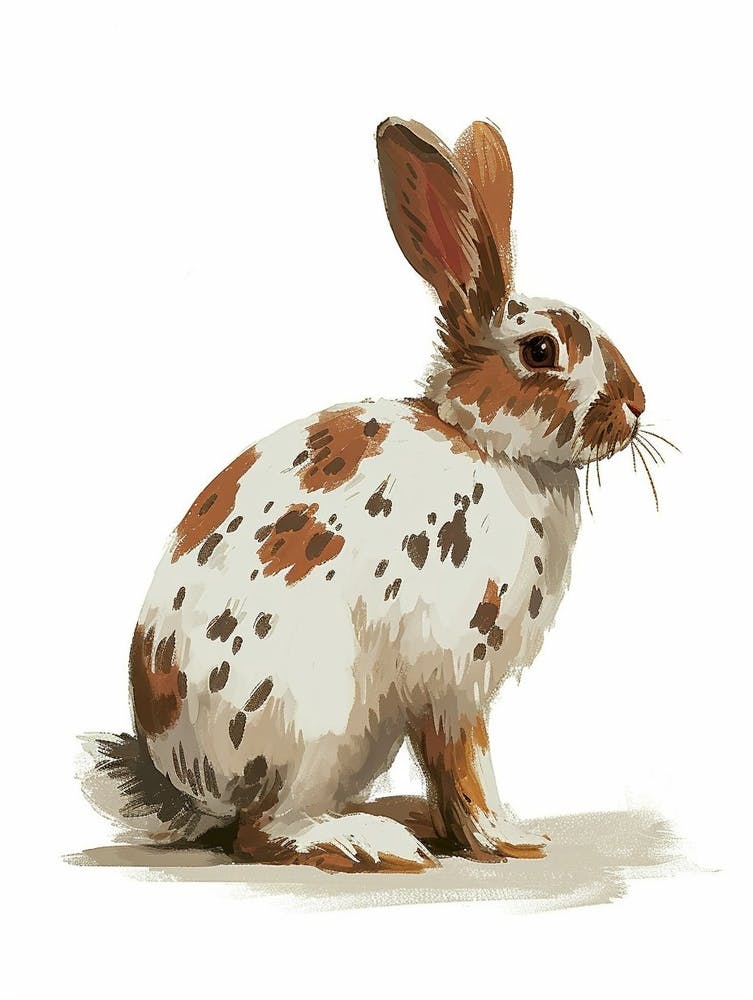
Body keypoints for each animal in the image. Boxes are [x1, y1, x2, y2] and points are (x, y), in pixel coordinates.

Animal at [80, 117, 645, 873]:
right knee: (265, 830)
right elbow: (465, 759)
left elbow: (446, 767)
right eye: (540, 351)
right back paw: (367, 842)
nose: (637, 404)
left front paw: (479, 831)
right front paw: (510, 838)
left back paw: (396, 819)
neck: (490, 446)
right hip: (317, 716)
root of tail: (189, 785)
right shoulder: (449, 675)